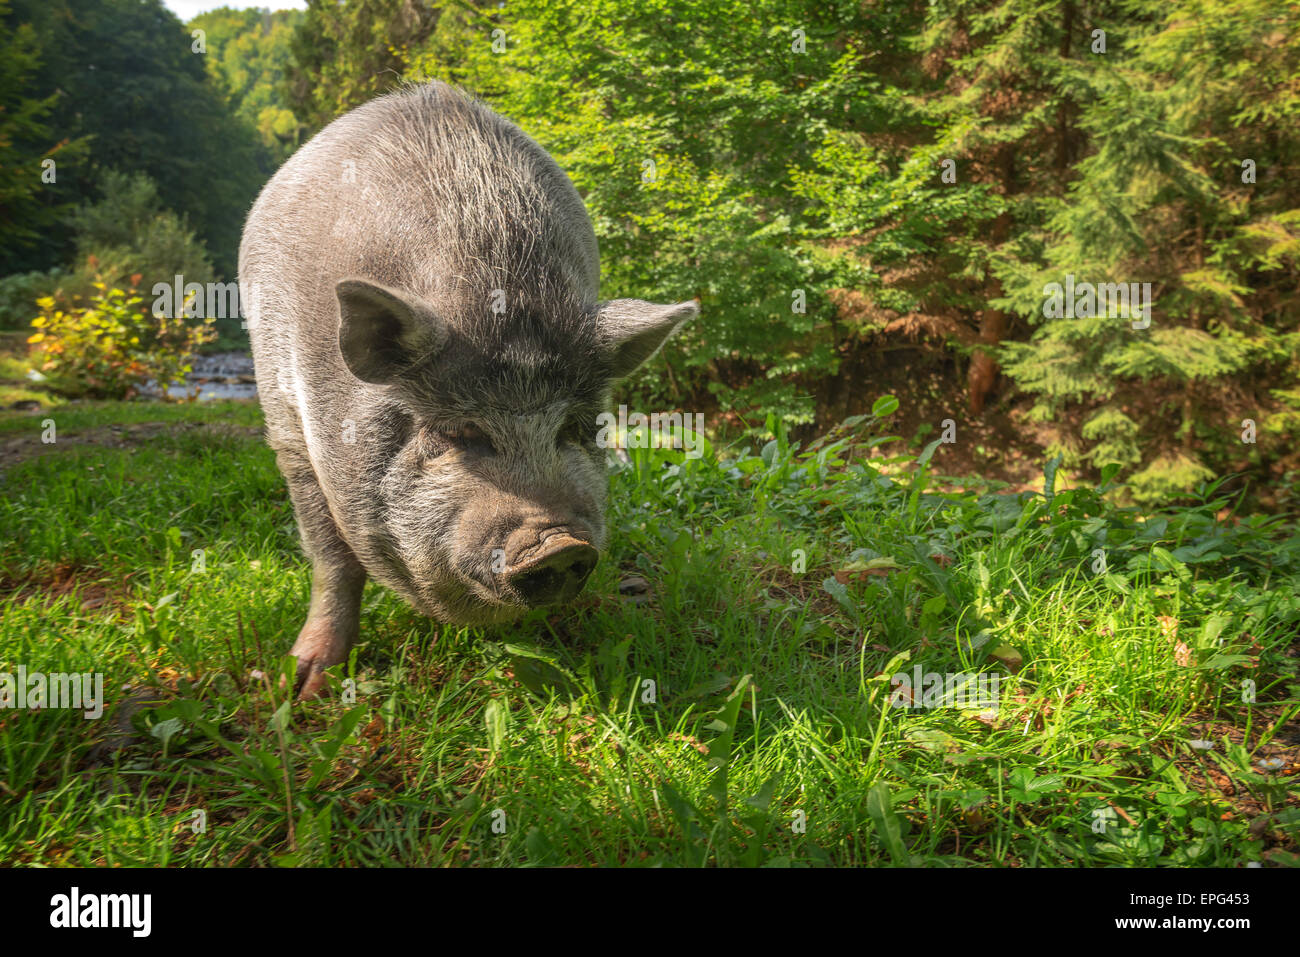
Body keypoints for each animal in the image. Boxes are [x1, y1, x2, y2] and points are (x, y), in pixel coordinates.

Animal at [237, 82, 696, 696]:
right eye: (462, 432)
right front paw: (301, 687)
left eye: (573, 428)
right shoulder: (294, 435)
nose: (559, 544)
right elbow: (333, 560)